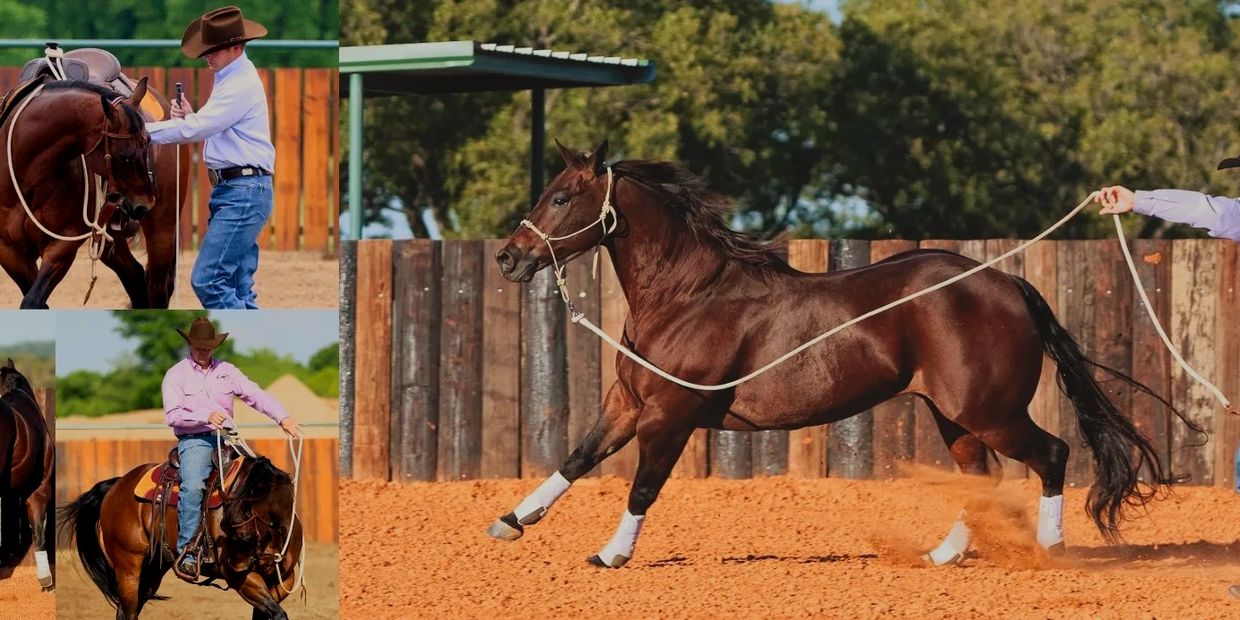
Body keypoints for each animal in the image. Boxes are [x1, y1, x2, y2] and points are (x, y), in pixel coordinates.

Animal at [0, 76, 188, 308]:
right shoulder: (9, 251)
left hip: (162, 227)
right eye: (125, 156)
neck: (27, 176)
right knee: (135, 278)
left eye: (148, 144)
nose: (144, 204)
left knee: (157, 287)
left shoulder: (63, 244)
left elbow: (33, 300)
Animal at [60, 450, 303, 619]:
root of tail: (117, 484)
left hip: (152, 571)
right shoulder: (245, 580)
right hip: (128, 567)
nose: (235, 567)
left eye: (242, 533)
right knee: (127, 612)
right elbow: (278, 612)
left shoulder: (283, 579)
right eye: (226, 526)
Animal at [486, 140, 1197, 568]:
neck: (689, 295)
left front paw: (611, 554)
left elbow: (643, 485)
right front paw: (510, 522)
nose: (508, 258)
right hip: (954, 414)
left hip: (990, 410)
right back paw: (941, 556)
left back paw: (1049, 550)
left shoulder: (671, 412)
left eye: (561, 196)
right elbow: (577, 458)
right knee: (982, 477)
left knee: (1051, 454)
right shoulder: (630, 401)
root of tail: (1007, 284)